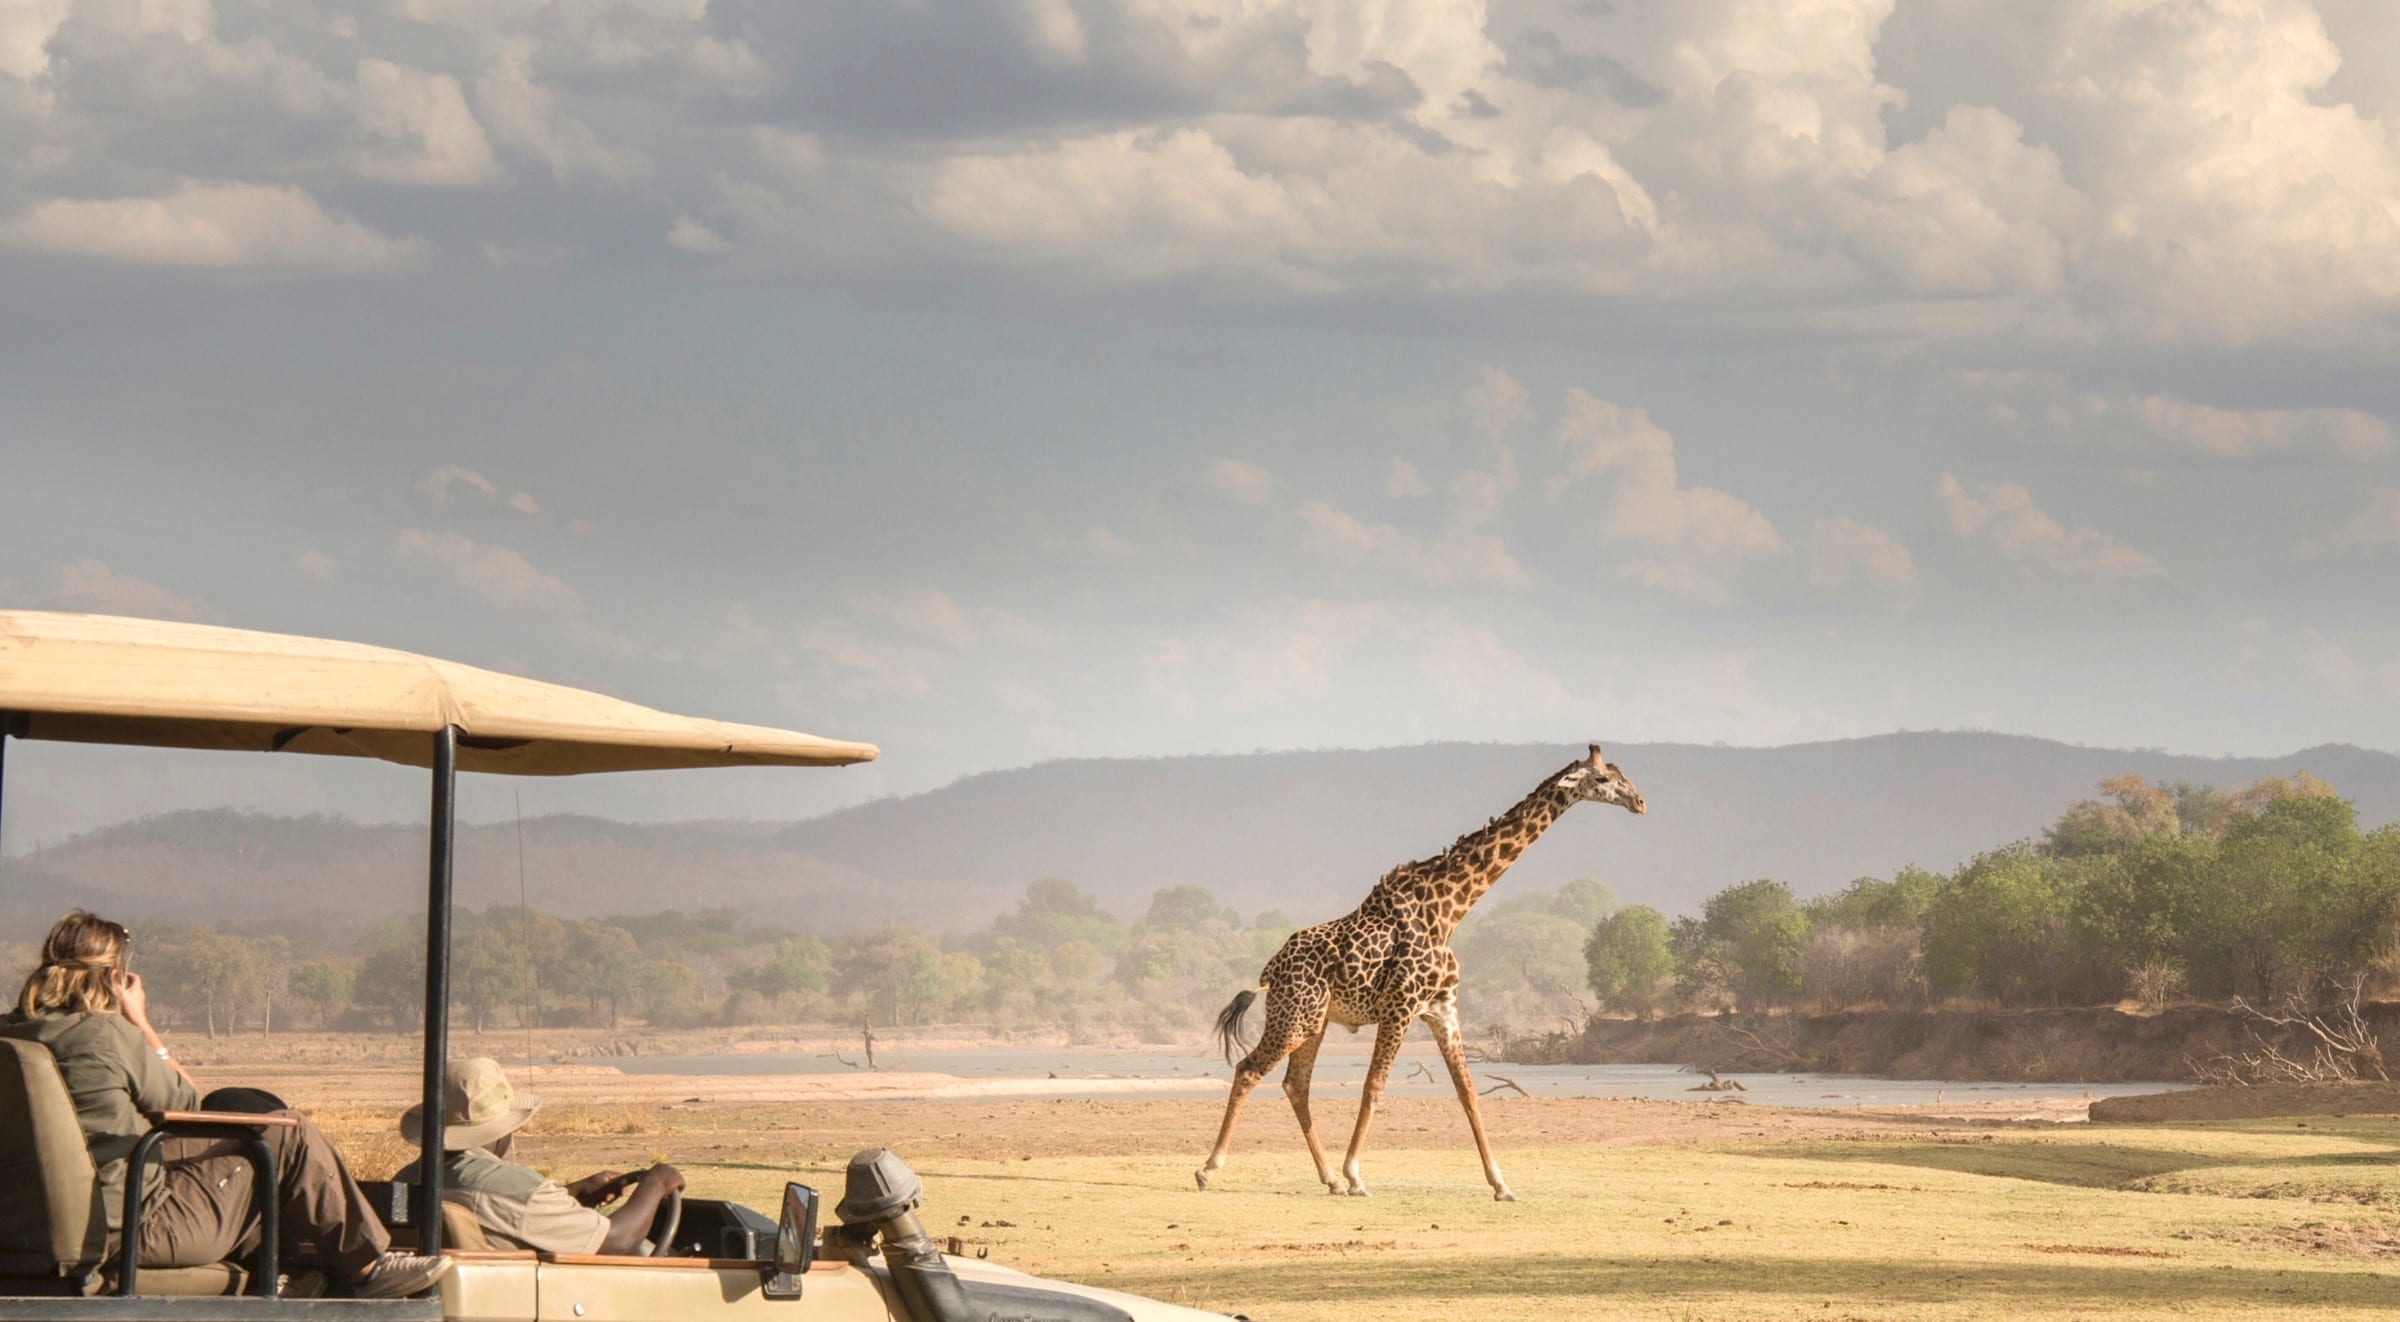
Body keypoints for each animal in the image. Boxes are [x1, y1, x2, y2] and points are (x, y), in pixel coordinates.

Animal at [1194, 744, 1646, 1201]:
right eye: (1603, 779)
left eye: (1621, 774)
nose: (1640, 802)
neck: (1450, 912)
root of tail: (1269, 969)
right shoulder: (1400, 1007)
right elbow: (1374, 1085)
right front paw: (1357, 1176)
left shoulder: (1443, 1009)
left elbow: (1467, 1091)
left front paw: (1501, 1184)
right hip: (1294, 1018)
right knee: (1248, 1070)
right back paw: (1210, 1170)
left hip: (1313, 1022)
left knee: (1295, 1084)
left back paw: (1329, 1179)